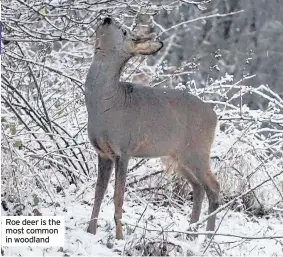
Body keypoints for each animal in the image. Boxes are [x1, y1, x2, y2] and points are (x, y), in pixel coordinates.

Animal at [84, 17, 220, 239]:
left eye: (124, 31)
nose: (107, 18)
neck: (107, 103)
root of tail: (215, 116)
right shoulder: (103, 153)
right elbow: (98, 194)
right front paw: (90, 232)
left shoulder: (124, 149)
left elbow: (118, 197)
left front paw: (119, 237)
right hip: (178, 156)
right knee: (198, 187)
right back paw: (190, 234)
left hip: (197, 150)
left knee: (213, 187)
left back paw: (208, 237)